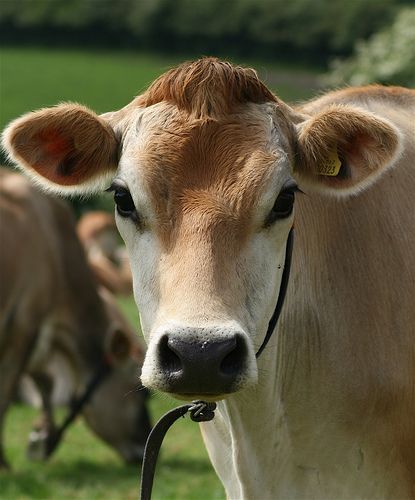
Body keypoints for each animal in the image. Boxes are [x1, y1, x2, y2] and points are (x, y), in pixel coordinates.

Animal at [0, 172, 151, 468]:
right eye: (143, 394)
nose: (145, 448)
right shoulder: (24, 321)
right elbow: (8, 389)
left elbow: (44, 382)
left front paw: (42, 436)